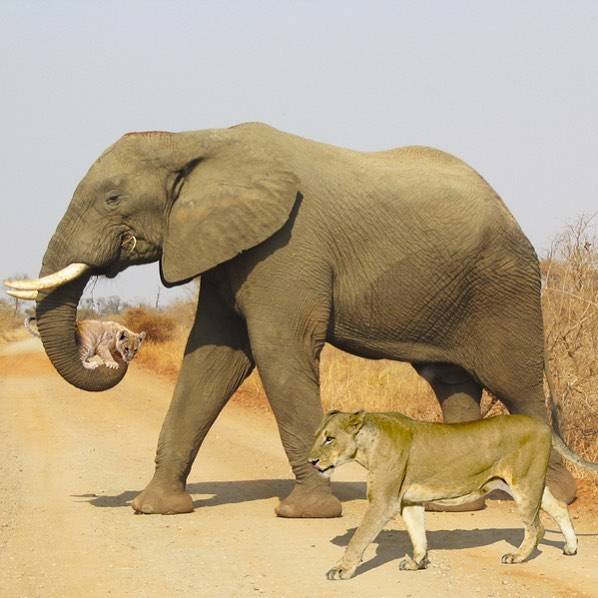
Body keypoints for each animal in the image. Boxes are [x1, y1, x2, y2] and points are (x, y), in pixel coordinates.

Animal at [7, 123, 596, 520]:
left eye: (112, 199)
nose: (119, 351)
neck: (195, 138)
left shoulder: (286, 249)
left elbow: (277, 354)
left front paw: (306, 512)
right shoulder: (224, 249)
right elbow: (210, 360)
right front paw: (155, 509)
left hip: (504, 287)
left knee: (517, 385)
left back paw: (555, 497)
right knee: (452, 382)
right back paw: (458, 508)